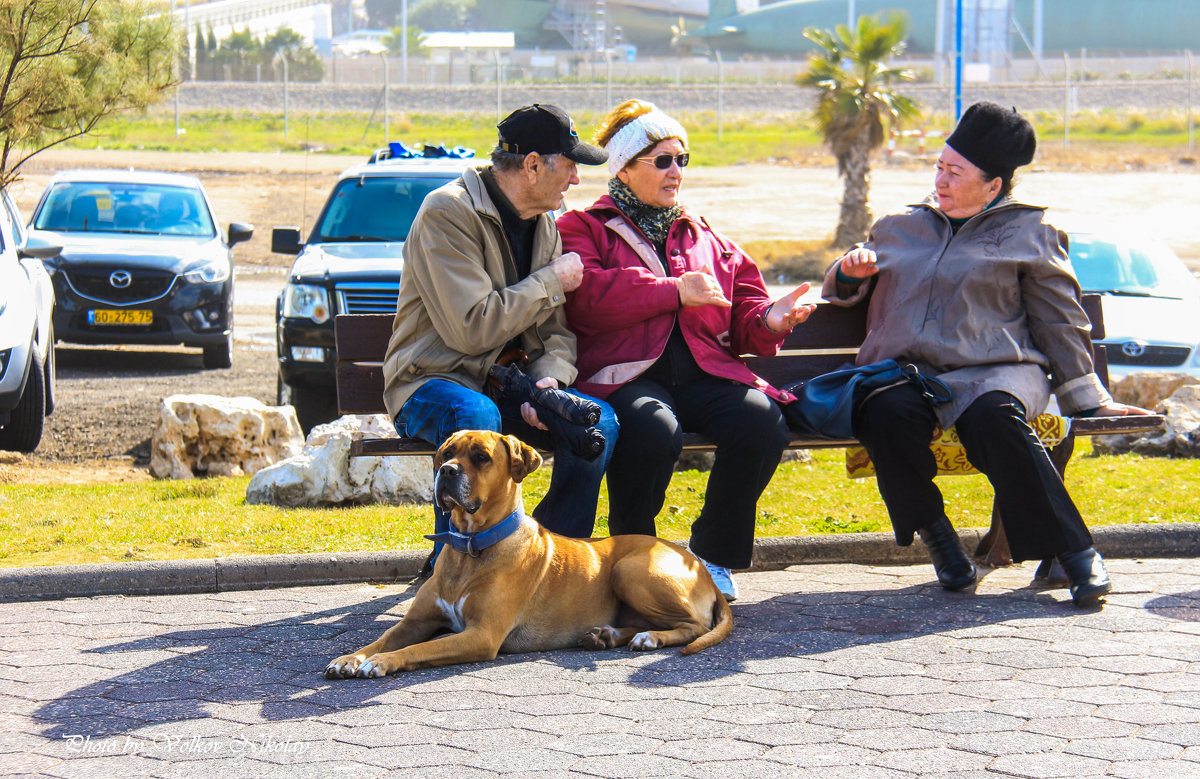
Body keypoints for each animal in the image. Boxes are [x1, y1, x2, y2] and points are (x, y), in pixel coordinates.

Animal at [324, 427, 729, 676]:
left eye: (482, 457)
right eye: (447, 452)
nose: (447, 471)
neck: (470, 546)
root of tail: (701, 566)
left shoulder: (482, 635)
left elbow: (418, 649)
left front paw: (382, 662)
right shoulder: (415, 622)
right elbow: (381, 639)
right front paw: (351, 657)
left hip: (630, 571)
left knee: (694, 626)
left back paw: (650, 638)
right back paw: (608, 635)